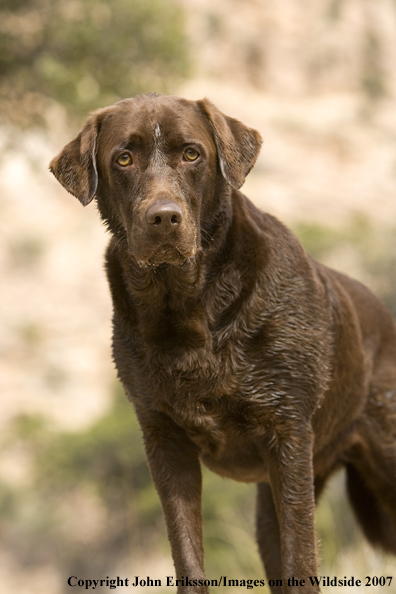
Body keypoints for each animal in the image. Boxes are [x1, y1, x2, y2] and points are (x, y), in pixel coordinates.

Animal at [50, 93, 396, 592]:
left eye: (192, 154)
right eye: (124, 158)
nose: (164, 217)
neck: (188, 307)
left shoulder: (288, 437)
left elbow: (302, 563)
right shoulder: (165, 442)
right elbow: (188, 558)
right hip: (269, 511)